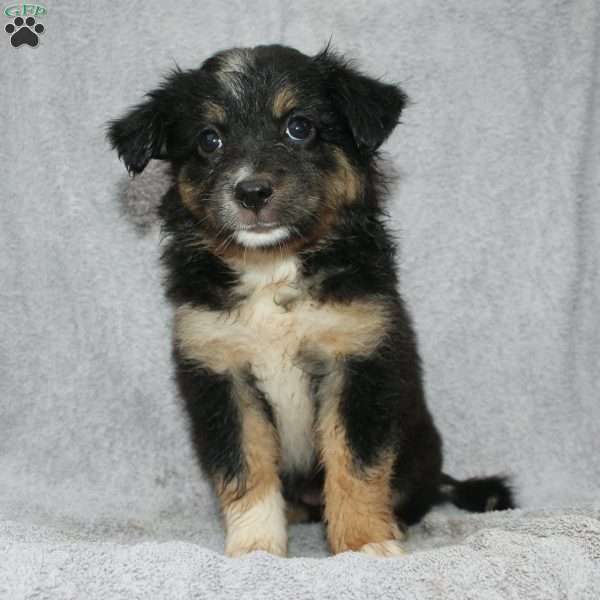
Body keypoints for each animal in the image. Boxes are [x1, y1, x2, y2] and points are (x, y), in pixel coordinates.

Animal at [108, 43, 510, 556]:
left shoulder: (357, 362)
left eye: (299, 127)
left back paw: (394, 522)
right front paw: (256, 547)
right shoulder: (222, 372)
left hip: (418, 452)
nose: (252, 191)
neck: (272, 270)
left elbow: (355, 465)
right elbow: (247, 469)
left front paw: (364, 543)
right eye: (209, 140)